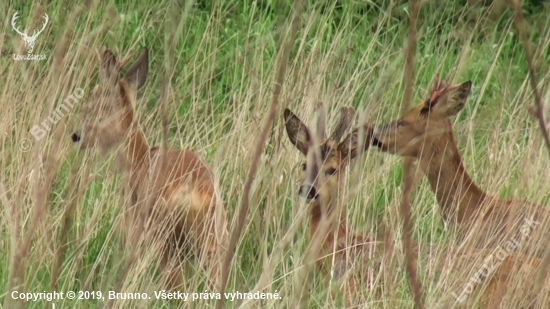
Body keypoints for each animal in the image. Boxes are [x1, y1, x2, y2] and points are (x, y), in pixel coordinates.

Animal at [71, 47, 229, 288]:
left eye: (96, 100)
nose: (77, 136)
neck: (139, 158)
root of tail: (198, 194)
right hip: (214, 242)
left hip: (164, 242)